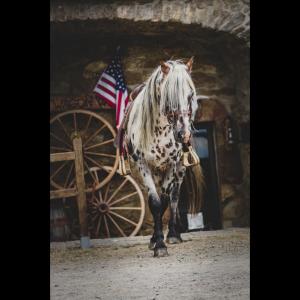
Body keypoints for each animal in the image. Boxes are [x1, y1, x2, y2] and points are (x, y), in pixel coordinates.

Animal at [124, 59, 204, 258]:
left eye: (190, 95)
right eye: (169, 97)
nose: (183, 134)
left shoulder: (172, 165)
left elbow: (166, 201)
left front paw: (164, 240)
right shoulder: (143, 166)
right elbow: (155, 203)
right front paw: (157, 242)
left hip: (180, 170)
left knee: (174, 198)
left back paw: (174, 234)